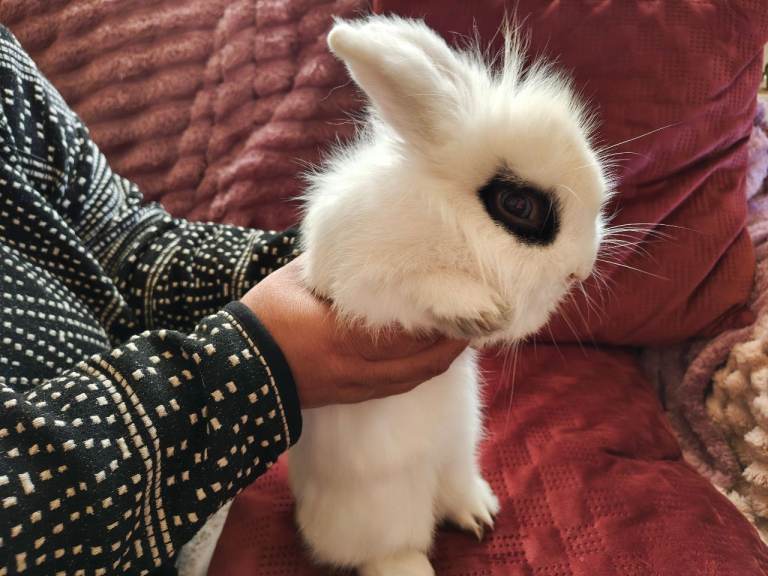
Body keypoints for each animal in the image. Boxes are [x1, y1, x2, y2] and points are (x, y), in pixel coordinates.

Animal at [290, 14, 611, 576]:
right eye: (518, 204)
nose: (581, 270)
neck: (448, 221)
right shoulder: (361, 278)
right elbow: (412, 283)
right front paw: (476, 306)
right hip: (381, 506)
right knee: (384, 546)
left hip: (460, 449)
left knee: (453, 494)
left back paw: (479, 514)